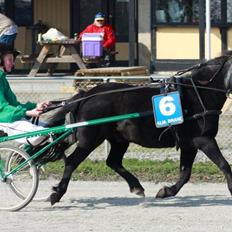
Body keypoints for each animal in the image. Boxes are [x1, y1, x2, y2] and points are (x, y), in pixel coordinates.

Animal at [47, 54, 232, 205]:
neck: (199, 92)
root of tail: (87, 95)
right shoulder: (203, 139)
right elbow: (224, 165)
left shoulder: (189, 144)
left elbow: (185, 173)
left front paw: (166, 191)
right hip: (90, 139)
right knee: (72, 162)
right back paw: (57, 193)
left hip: (119, 139)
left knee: (113, 161)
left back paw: (136, 186)